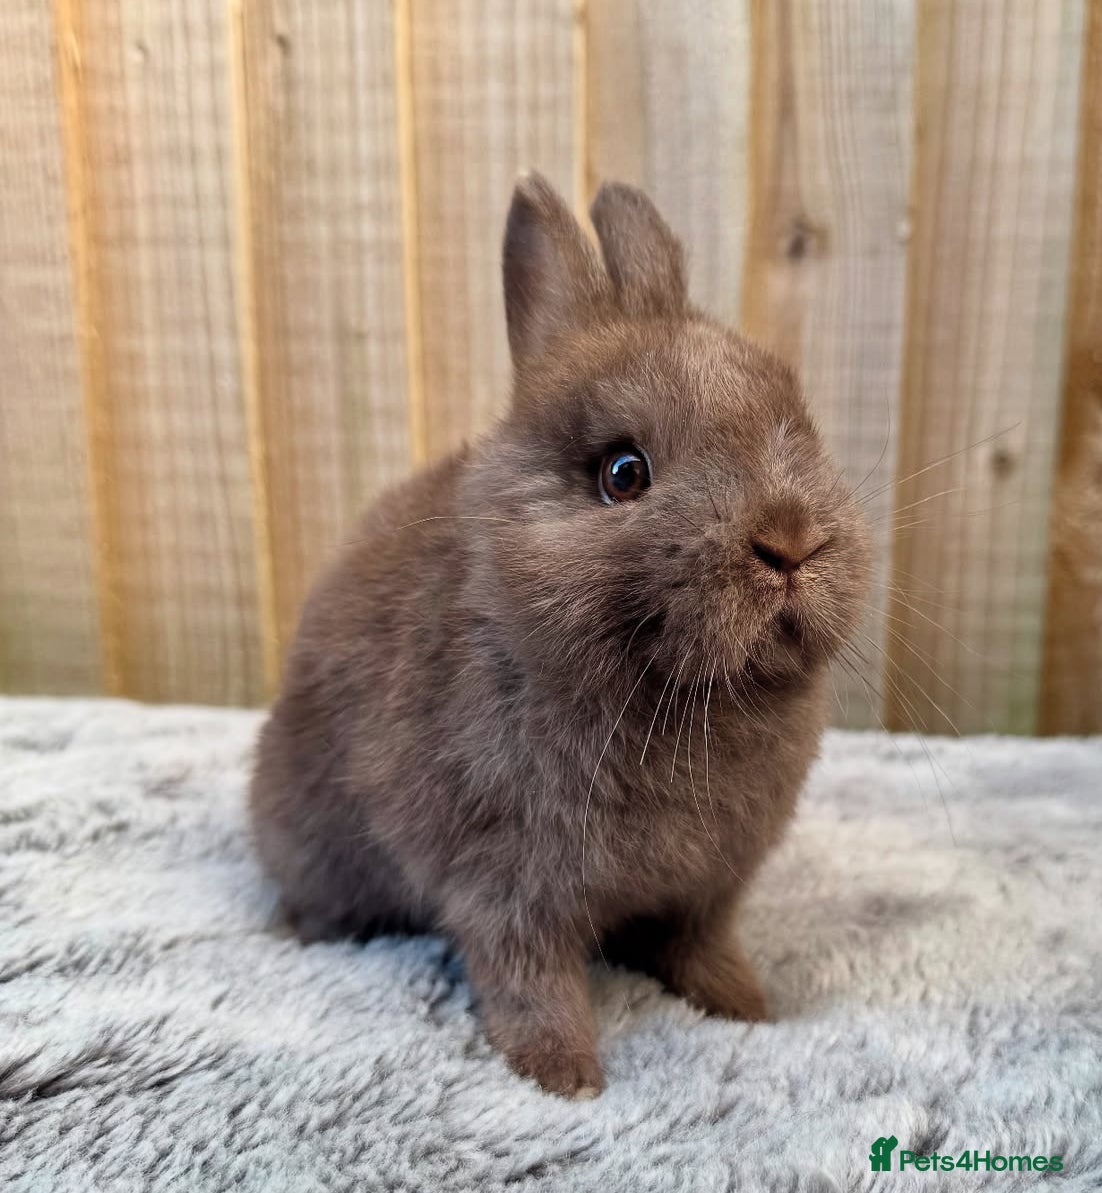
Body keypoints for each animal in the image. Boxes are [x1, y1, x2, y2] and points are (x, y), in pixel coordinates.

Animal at [249, 173, 872, 1098]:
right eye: (624, 473)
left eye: (796, 422)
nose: (790, 539)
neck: (684, 703)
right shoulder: (502, 885)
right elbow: (528, 978)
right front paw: (565, 1075)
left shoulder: (708, 890)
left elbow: (702, 948)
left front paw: (749, 1008)